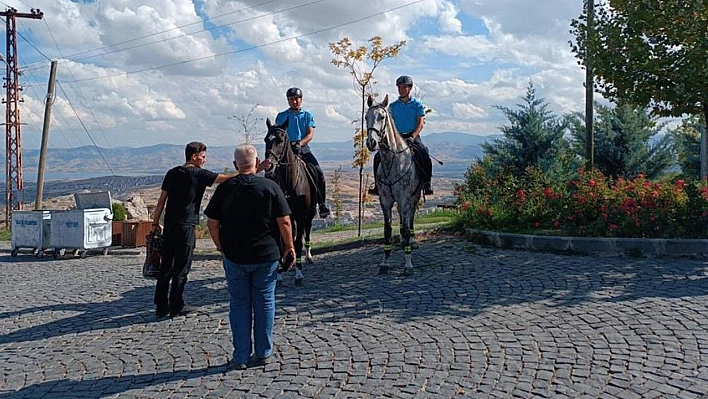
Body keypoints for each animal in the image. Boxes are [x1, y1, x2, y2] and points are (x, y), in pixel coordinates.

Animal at [262, 117, 316, 286]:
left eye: (281, 139)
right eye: (266, 139)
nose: (269, 166)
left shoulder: (300, 214)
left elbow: (298, 242)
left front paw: (299, 274)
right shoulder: (278, 216)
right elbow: (280, 242)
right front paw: (278, 275)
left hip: (309, 213)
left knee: (307, 231)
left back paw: (307, 257)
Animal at [366, 95, 420, 276]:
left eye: (382, 117)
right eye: (366, 117)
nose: (371, 142)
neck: (393, 161)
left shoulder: (404, 199)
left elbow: (406, 228)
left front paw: (408, 264)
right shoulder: (386, 201)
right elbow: (388, 230)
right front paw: (385, 262)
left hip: (414, 198)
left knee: (410, 219)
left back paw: (411, 241)